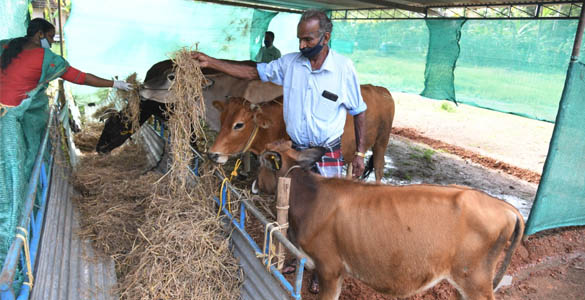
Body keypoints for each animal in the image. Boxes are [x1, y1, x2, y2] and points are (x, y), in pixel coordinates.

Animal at [208, 84, 394, 192]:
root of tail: (382, 89)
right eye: (222, 119)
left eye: (239, 125)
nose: (212, 154)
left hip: (381, 142)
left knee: (379, 168)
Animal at [258, 141, 524, 300]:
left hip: (476, 280)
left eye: (260, 161)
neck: (310, 197)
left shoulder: (329, 267)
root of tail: (505, 207)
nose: (253, 180)